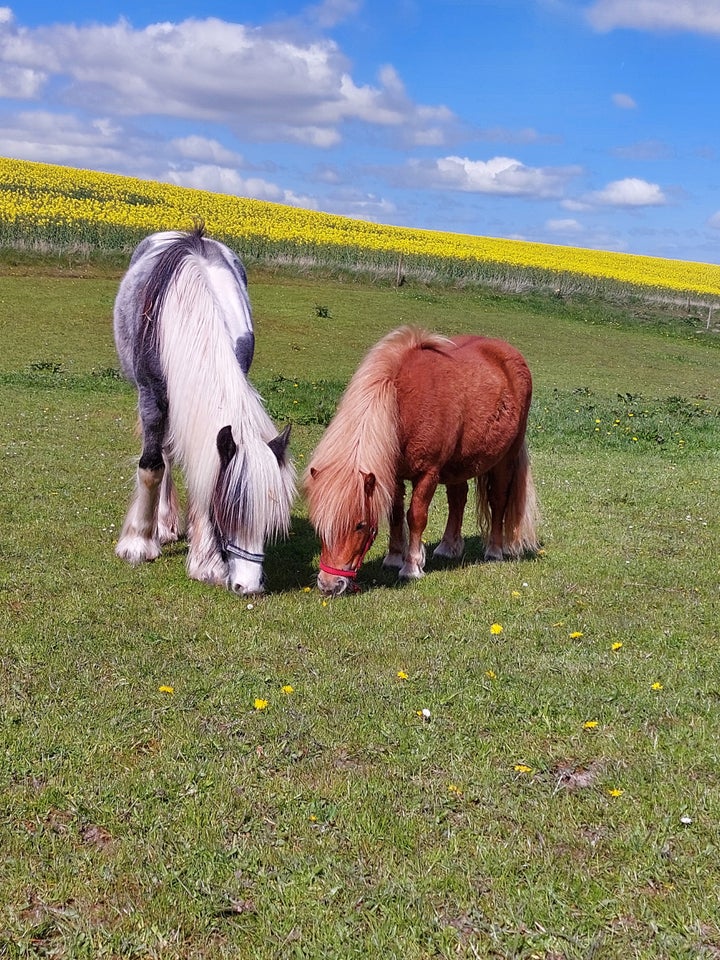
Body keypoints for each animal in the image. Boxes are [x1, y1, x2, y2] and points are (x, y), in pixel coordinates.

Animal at [112, 225, 292, 592]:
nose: (247, 586)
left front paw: (206, 563)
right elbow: (151, 466)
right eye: (228, 513)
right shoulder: (151, 395)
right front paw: (138, 544)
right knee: (163, 454)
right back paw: (160, 528)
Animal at [304, 330, 540, 600]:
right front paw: (394, 558)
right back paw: (448, 547)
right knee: (458, 499)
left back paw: (494, 550)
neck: (402, 404)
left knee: (498, 501)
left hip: (506, 458)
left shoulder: (428, 473)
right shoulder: (393, 475)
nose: (329, 585)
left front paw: (412, 566)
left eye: (360, 525)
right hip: (459, 465)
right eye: (318, 524)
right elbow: (396, 514)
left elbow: (416, 516)